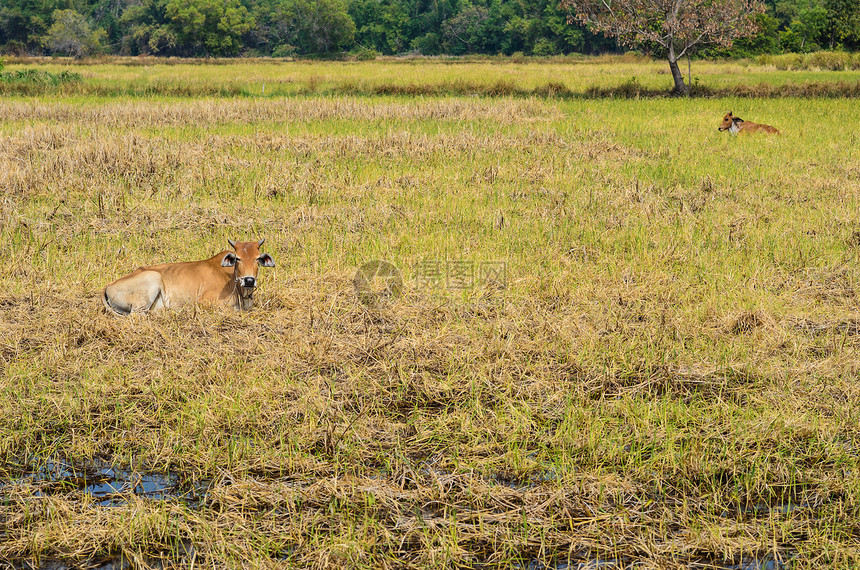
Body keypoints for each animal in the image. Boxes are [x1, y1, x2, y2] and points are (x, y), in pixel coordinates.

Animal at [101, 237, 278, 312]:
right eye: (238, 258)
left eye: (257, 258)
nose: (249, 280)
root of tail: (108, 286)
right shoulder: (205, 302)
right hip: (151, 281)